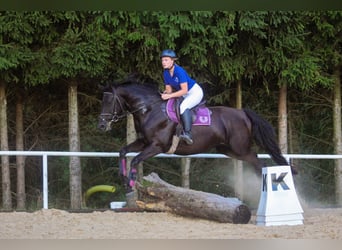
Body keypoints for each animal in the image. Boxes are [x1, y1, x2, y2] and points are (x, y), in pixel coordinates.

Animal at [98, 79, 296, 190]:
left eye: (109, 101)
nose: (101, 125)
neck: (150, 110)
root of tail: (242, 113)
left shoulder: (157, 146)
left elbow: (136, 160)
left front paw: (130, 184)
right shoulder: (144, 142)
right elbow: (123, 152)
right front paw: (124, 180)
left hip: (240, 148)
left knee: (259, 162)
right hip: (228, 150)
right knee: (256, 162)